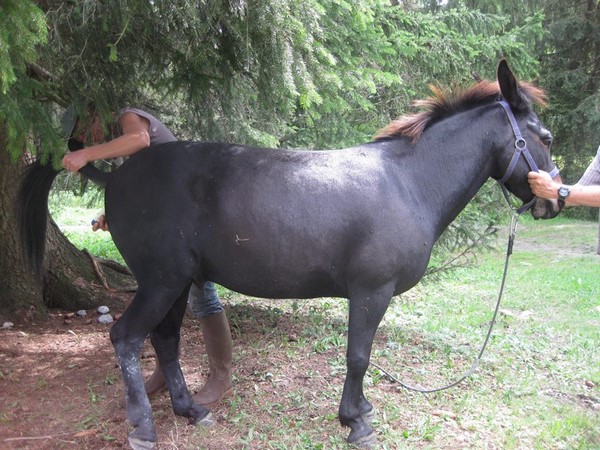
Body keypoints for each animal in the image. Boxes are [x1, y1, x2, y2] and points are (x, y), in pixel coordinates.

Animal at [18, 59, 564, 446]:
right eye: (546, 137)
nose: (556, 199)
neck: (407, 182)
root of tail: (116, 174)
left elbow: (360, 356)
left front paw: (361, 411)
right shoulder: (371, 292)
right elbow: (359, 355)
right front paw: (355, 421)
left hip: (174, 283)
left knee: (166, 340)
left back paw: (191, 410)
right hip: (160, 281)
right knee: (128, 339)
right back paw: (144, 428)